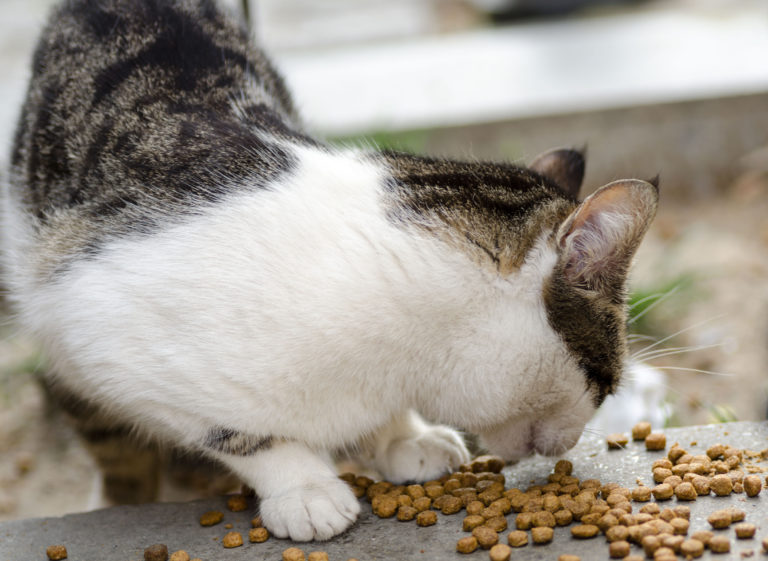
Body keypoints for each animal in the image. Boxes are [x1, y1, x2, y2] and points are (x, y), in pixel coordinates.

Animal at [3, 0, 656, 540]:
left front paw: (402, 437)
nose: (575, 438)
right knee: (113, 448)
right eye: (606, 380)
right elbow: (239, 432)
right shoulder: (97, 330)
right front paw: (306, 488)